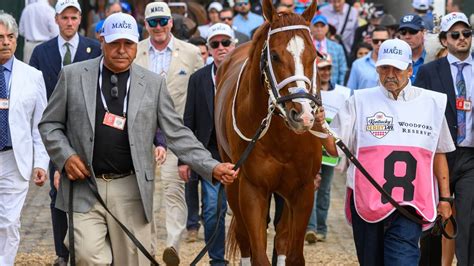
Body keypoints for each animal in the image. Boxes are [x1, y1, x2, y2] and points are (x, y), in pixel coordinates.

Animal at [215, 1, 322, 264]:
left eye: (314, 55)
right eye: (274, 55)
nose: (303, 115)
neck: (281, 138)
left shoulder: (303, 189)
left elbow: (293, 253)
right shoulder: (252, 189)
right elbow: (258, 252)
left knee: (281, 236)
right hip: (231, 180)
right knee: (244, 237)